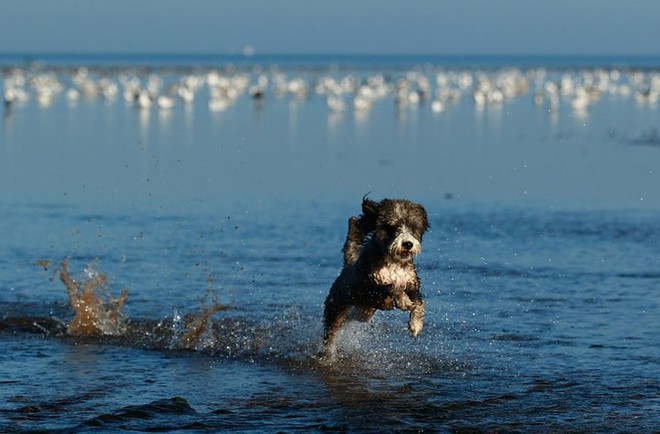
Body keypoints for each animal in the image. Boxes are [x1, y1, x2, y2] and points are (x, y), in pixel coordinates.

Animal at [322, 197, 430, 356]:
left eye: (413, 226)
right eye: (392, 226)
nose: (408, 244)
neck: (394, 262)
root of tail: (347, 266)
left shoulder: (413, 284)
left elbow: (420, 302)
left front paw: (416, 324)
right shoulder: (371, 284)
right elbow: (393, 288)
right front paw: (403, 300)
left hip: (364, 312)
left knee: (352, 317)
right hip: (336, 307)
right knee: (331, 332)